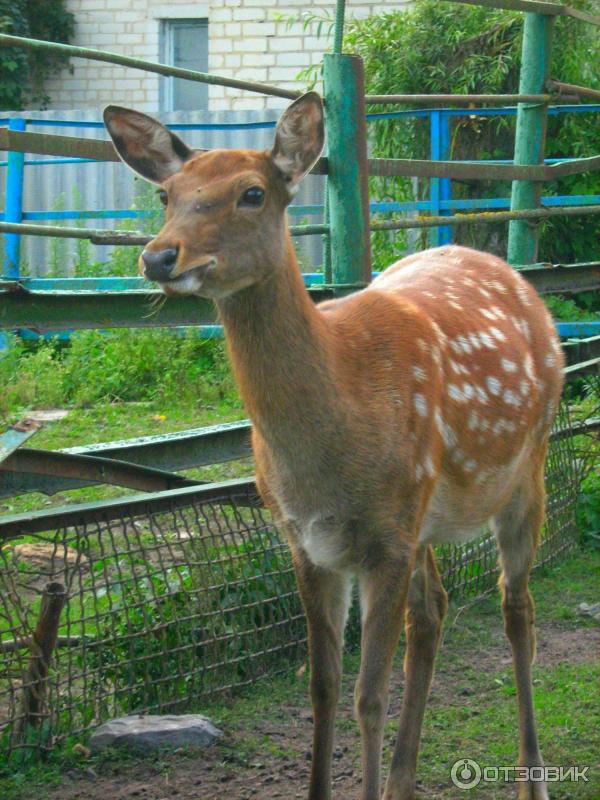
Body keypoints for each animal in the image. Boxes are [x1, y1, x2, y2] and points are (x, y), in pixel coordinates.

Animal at [105, 90, 564, 796]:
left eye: (252, 193)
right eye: (167, 194)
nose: (159, 257)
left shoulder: (385, 539)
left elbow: (366, 697)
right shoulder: (307, 541)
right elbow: (321, 689)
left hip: (527, 468)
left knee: (518, 609)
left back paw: (530, 779)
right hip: (425, 515)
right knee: (433, 611)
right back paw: (404, 779)